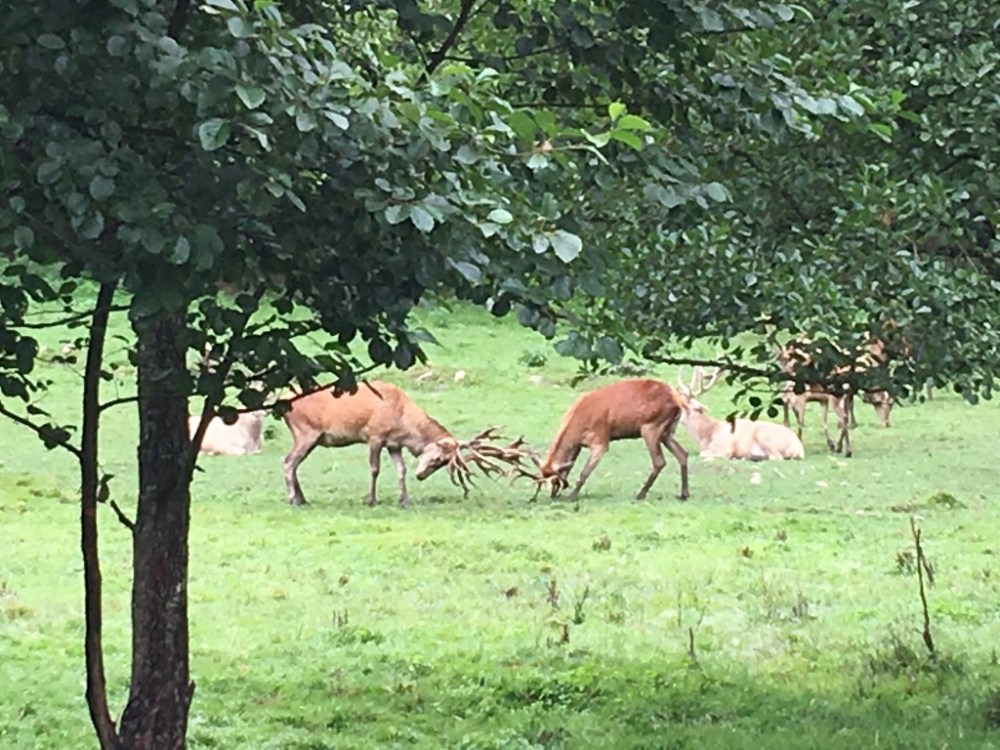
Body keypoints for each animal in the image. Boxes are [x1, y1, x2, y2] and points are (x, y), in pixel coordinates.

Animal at [281, 380, 531, 507]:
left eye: (442, 463)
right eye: (438, 458)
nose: (421, 476)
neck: (402, 421)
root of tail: (280, 403)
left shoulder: (394, 444)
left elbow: (401, 469)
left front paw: (404, 499)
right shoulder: (374, 435)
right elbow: (374, 469)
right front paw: (371, 499)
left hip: (309, 437)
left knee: (292, 464)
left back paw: (302, 499)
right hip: (306, 431)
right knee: (287, 462)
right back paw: (294, 499)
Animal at [516, 379, 689, 502]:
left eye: (554, 481)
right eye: (541, 480)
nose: (553, 495)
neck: (578, 425)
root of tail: (678, 402)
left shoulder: (600, 440)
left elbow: (584, 472)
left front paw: (572, 496)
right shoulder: (579, 445)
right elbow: (571, 465)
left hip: (650, 428)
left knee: (659, 461)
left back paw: (640, 494)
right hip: (667, 432)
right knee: (683, 453)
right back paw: (683, 494)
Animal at [676, 367, 804, 460]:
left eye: (681, 406)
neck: (708, 435)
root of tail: (799, 448)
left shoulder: (724, 448)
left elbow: (703, 454)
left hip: (766, 437)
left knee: (776, 457)